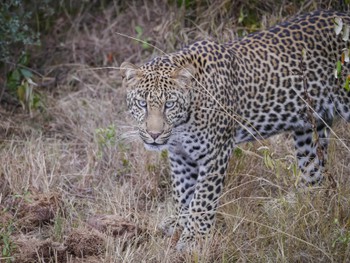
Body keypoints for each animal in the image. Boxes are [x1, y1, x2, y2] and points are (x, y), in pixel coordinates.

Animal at [120, 11, 350, 252]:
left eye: (170, 105)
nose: (154, 134)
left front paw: (194, 239)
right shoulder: (180, 156)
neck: (183, 123)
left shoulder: (215, 153)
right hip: (310, 126)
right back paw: (290, 205)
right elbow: (183, 192)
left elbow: (202, 198)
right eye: (142, 104)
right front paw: (180, 223)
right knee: (314, 172)